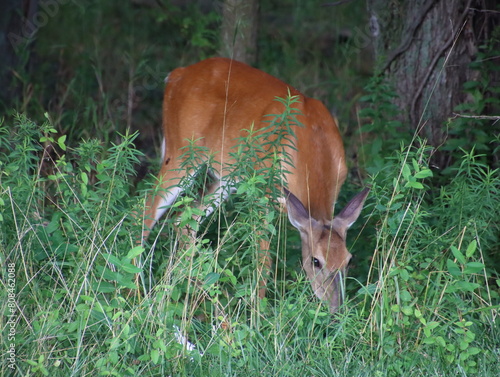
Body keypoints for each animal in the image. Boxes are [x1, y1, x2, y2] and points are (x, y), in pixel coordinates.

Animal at [139, 57, 370, 312]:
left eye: (349, 260)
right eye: (316, 261)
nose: (335, 307)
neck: (313, 146)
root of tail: (176, 75)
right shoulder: (262, 191)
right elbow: (263, 261)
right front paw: (258, 313)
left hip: (225, 178)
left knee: (186, 219)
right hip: (181, 152)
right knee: (145, 208)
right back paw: (138, 290)